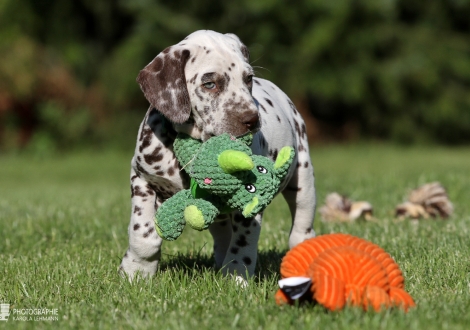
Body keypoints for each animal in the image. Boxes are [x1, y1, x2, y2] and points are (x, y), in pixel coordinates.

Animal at [119, 30, 316, 282]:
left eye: (248, 79)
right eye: (210, 84)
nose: (252, 119)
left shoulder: (250, 201)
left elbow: (243, 243)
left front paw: (236, 277)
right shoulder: (142, 179)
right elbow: (142, 233)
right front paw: (136, 271)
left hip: (303, 181)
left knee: (301, 229)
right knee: (223, 234)